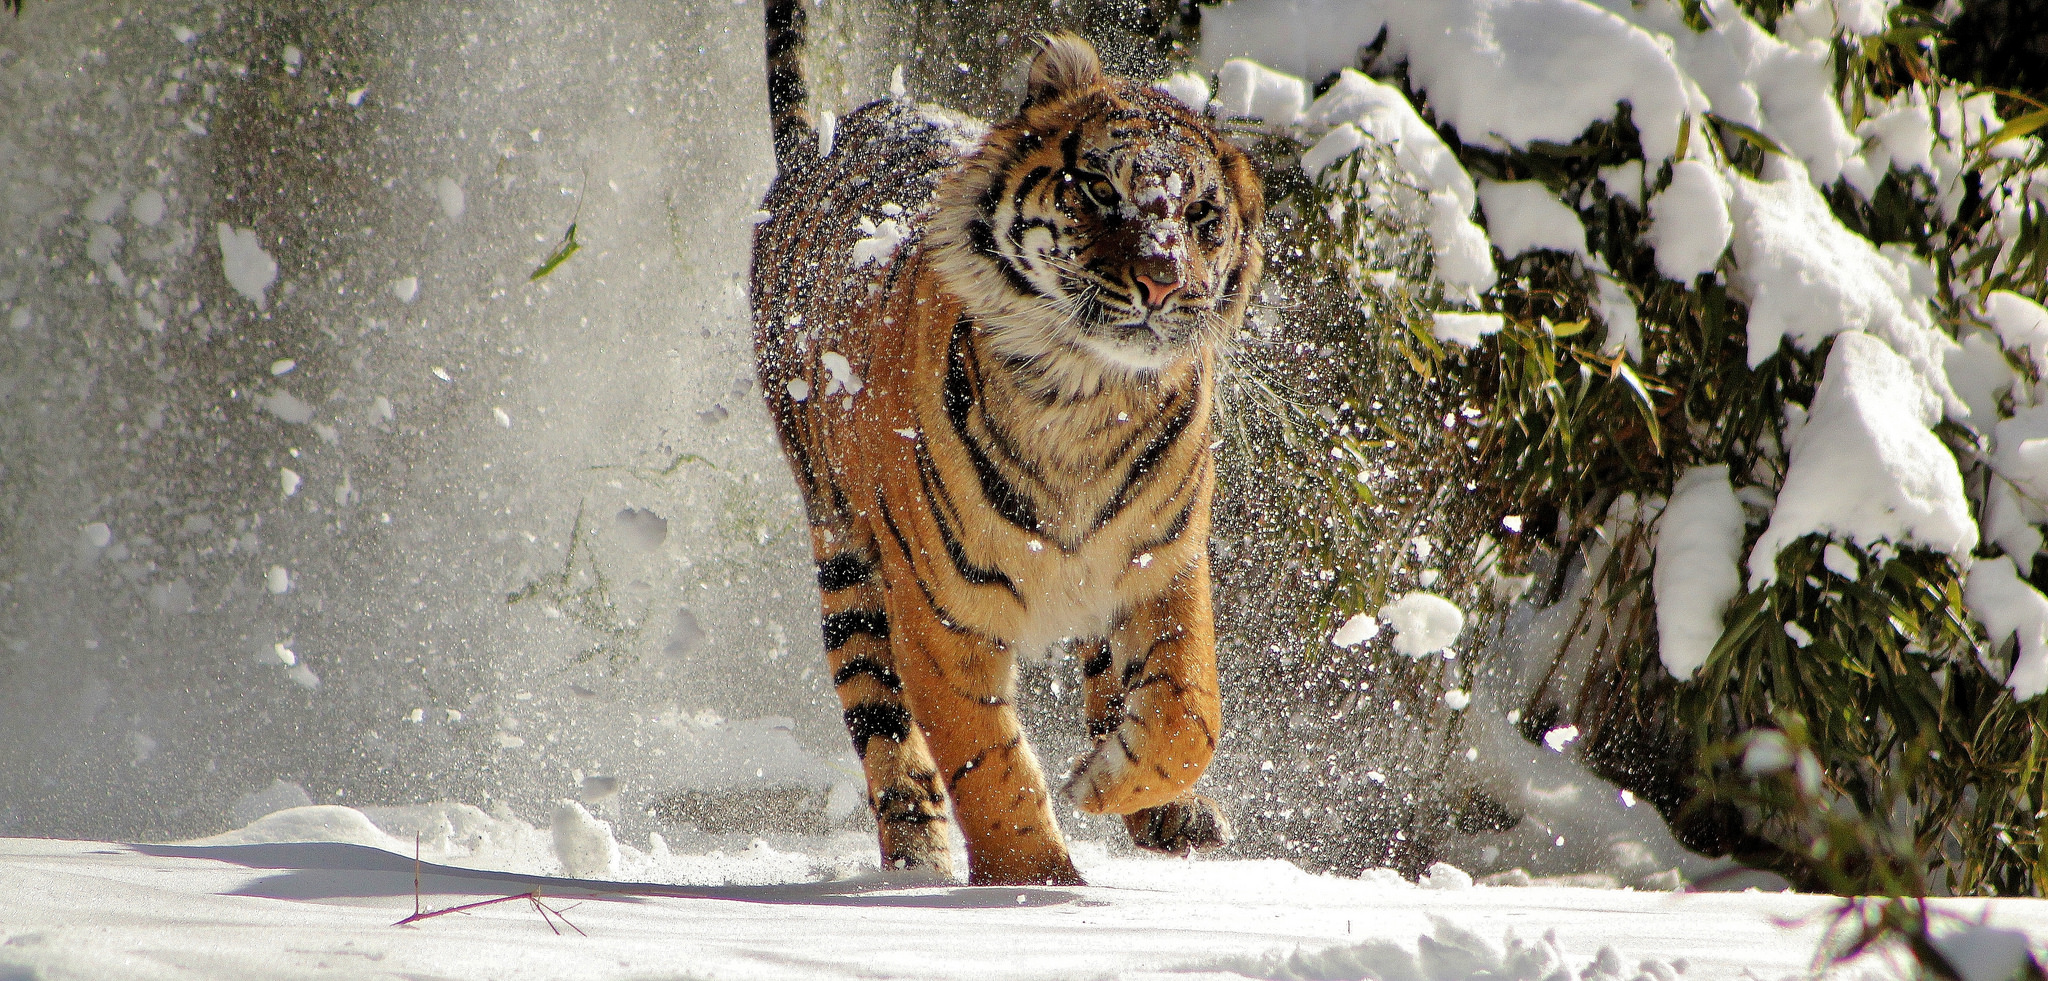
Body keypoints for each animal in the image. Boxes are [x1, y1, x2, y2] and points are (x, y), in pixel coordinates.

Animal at [753, 0, 1261, 892]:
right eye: (1100, 188)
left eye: (1202, 217)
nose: (1163, 279)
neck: (1085, 398)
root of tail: (817, 145)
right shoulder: (941, 614)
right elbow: (987, 764)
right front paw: (1033, 884)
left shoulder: (1164, 563)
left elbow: (1189, 708)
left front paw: (1108, 783)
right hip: (844, 553)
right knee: (881, 723)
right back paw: (917, 855)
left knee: (1114, 680)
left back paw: (1166, 809)